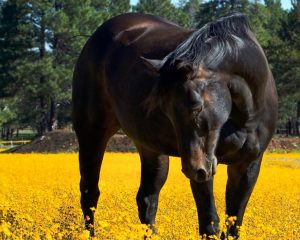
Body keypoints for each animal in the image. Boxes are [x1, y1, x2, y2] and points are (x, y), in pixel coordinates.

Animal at [72, 12, 276, 238]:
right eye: (165, 109)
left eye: (196, 106)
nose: (193, 168)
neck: (245, 114)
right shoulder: (204, 170)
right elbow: (209, 223)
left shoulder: (247, 165)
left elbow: (234, 224)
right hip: (92, 134)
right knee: (90, 193)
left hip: (151, 149)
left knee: (147, 199)